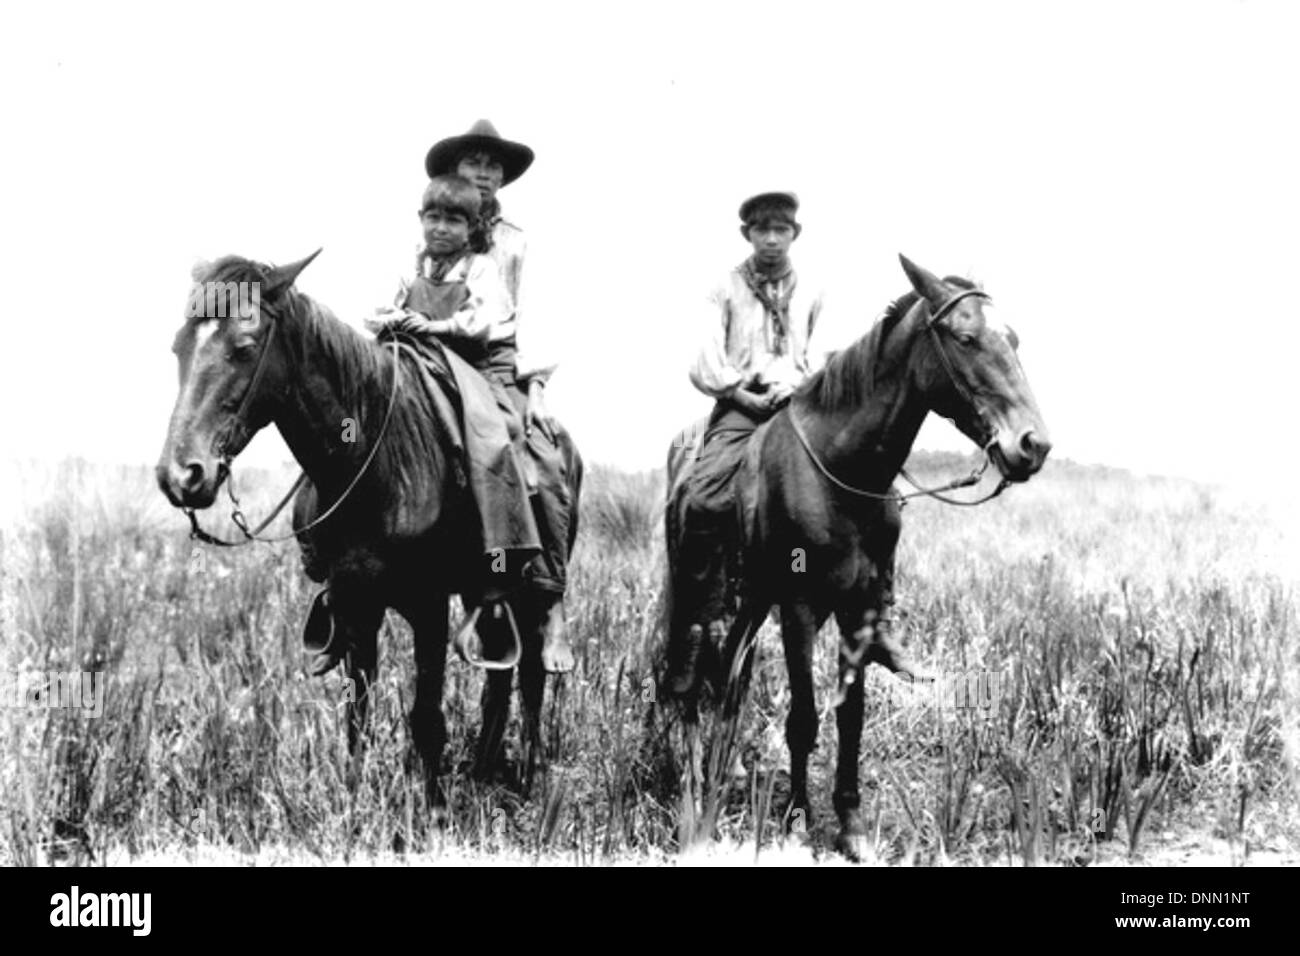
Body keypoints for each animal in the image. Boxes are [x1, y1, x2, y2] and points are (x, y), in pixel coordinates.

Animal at [153, 252, 585, 816]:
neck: (378, 460)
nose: (181, 475)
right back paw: (484, 769)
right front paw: (356, 799)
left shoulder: (428, 605)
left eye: (244, 348)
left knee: (531, 673)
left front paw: (432, 808)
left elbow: (427, 717)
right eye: (179, 346)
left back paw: (527, 775)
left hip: (532, 589)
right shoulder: (356, 602)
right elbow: (357, 712)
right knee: (500, 676)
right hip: (489, 592)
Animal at [665, 254, 1050, 858]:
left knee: (730, 678)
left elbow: (852, 715)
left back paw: (726, 769)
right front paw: (797, 819)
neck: (839, 472)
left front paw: (850, 825)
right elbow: (804, 717)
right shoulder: (799, 609)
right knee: (688, 682)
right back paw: (692, 785)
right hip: (705, 601)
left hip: (752, 603)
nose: (1032, 445)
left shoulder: (859, 613)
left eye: (1012, 339)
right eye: (965, 337)